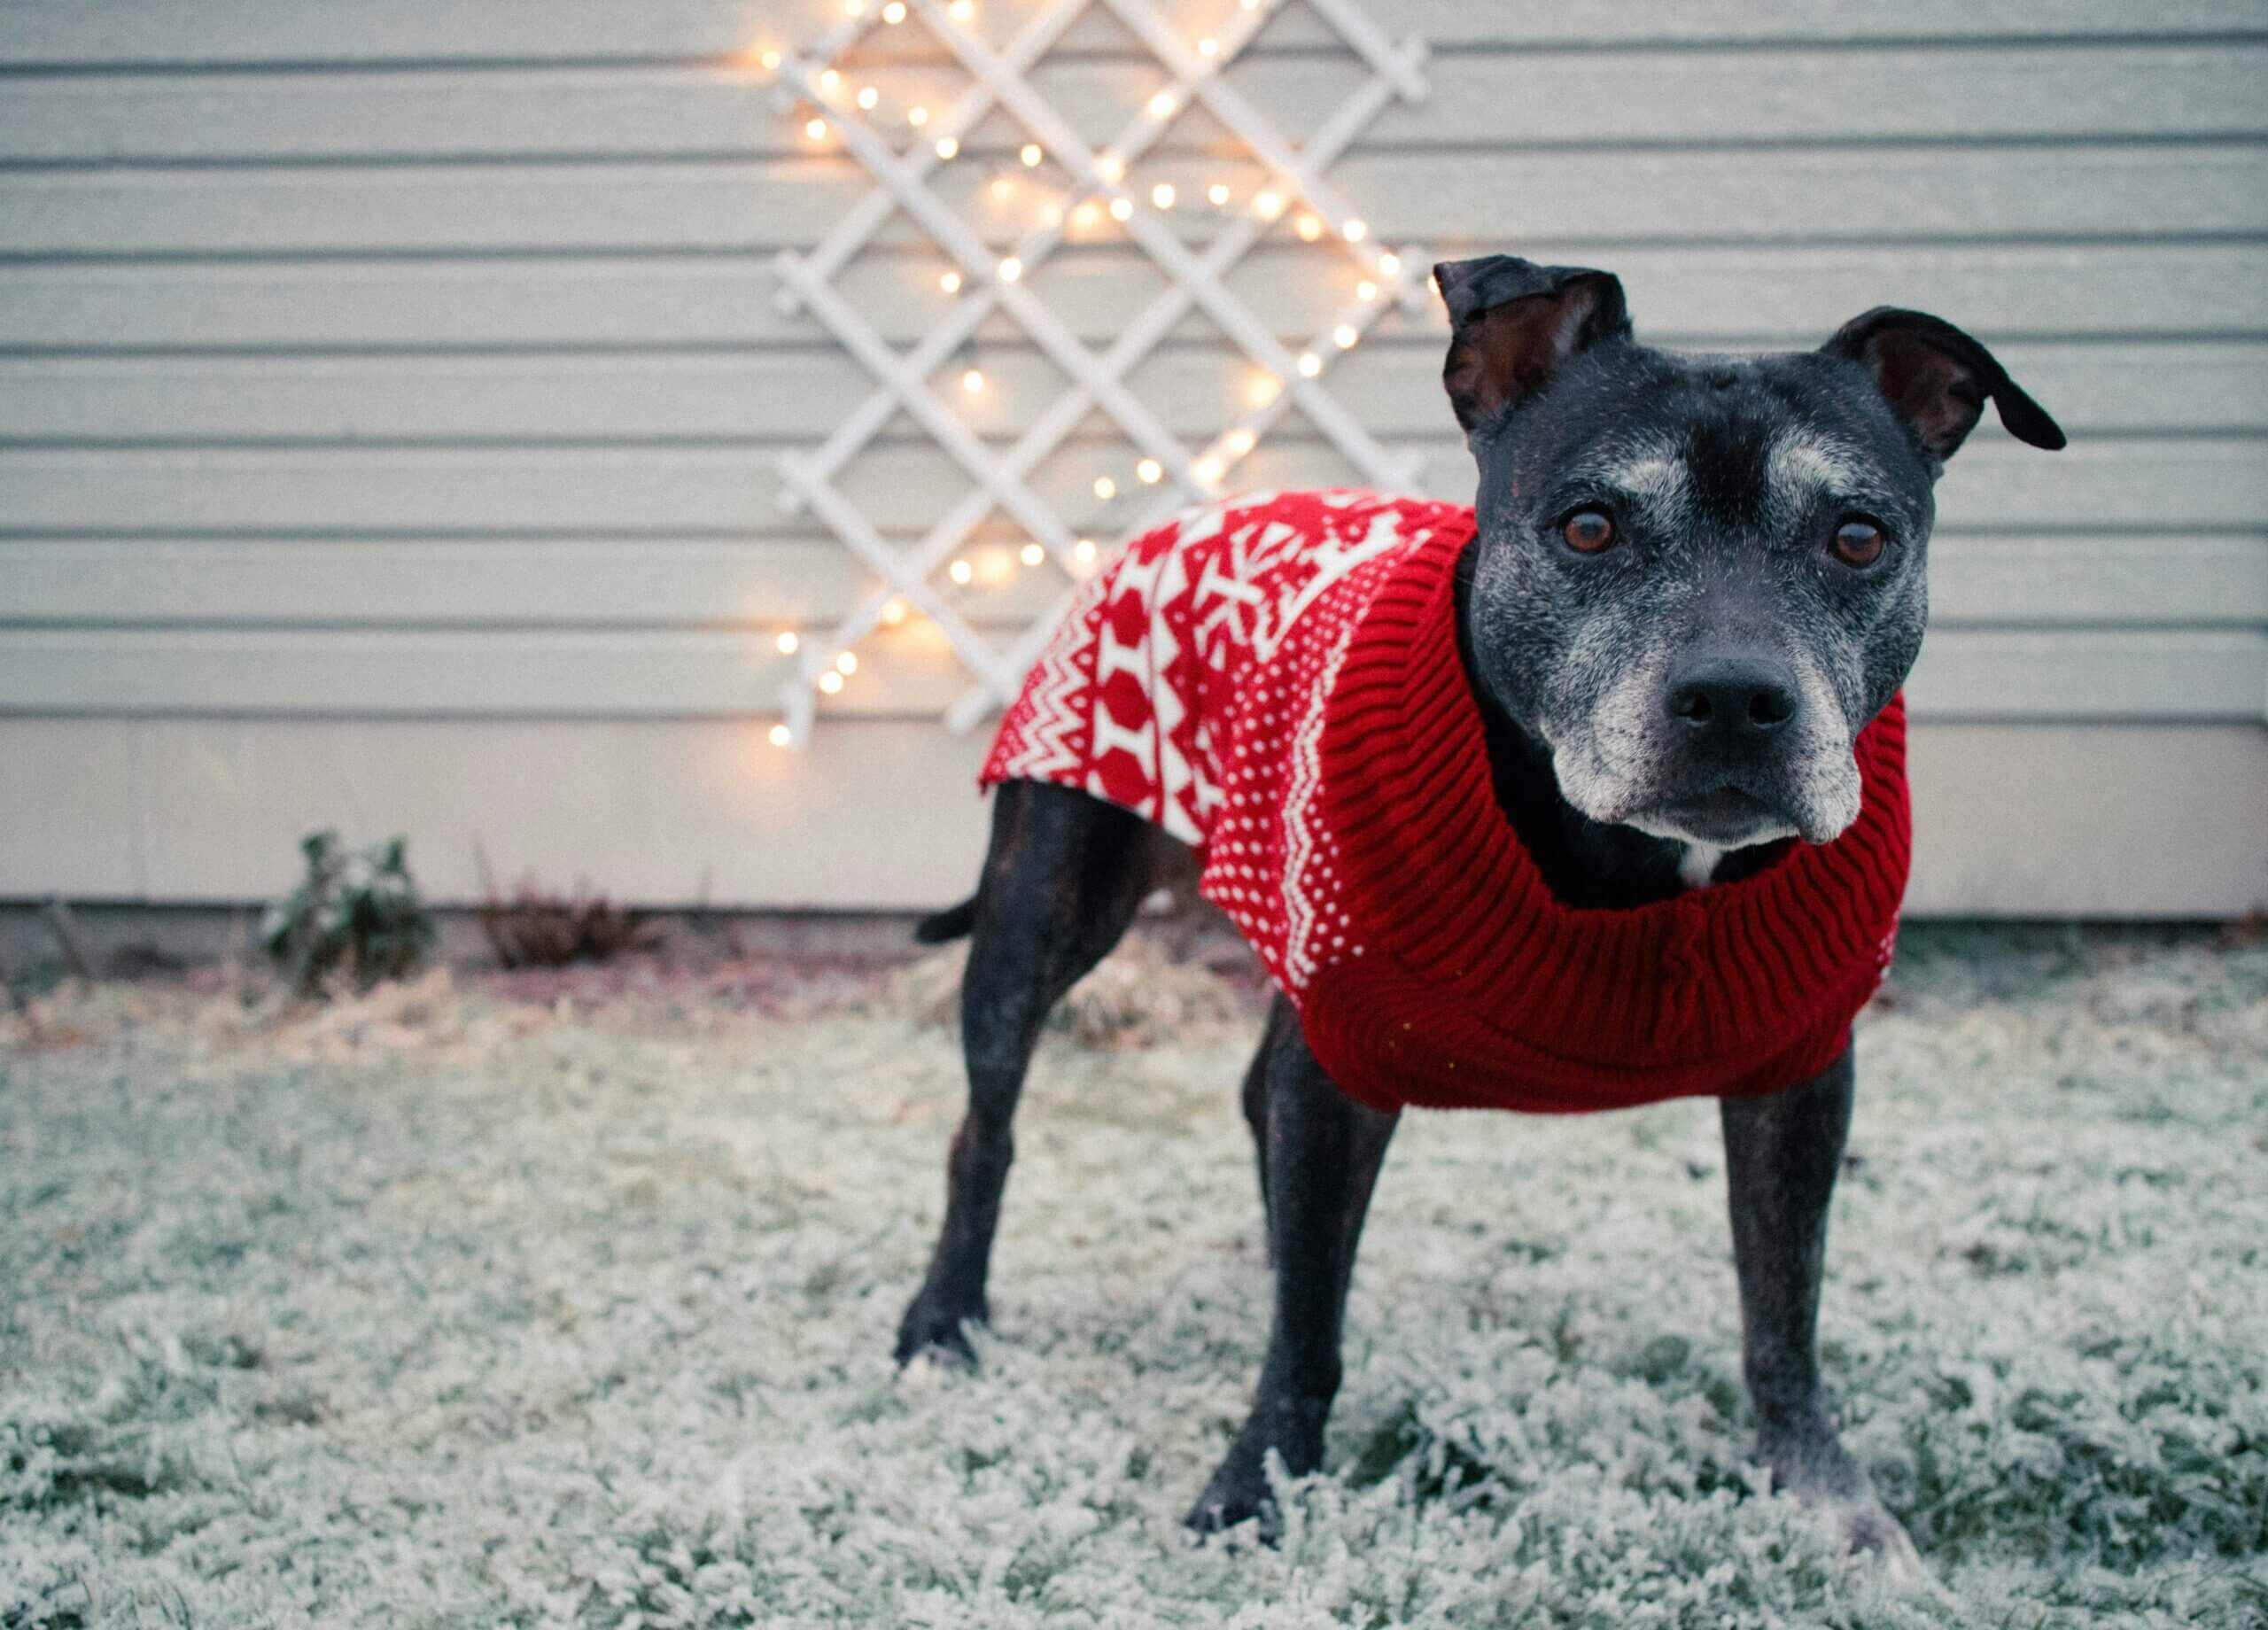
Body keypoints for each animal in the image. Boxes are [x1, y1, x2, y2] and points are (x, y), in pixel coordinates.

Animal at [893, 258, 2068, 1568]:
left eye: (1857, 537)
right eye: (1589, 526)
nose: (1733, 698)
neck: (1628, 867)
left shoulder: (1800, 1079)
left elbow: (1783, 1308)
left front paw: (1822, 1499)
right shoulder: (1337, 1056)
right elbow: (1306, 1334)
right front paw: (1258, 1486)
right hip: (1047, 909)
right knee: (987, 1124)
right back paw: (945, 1319)